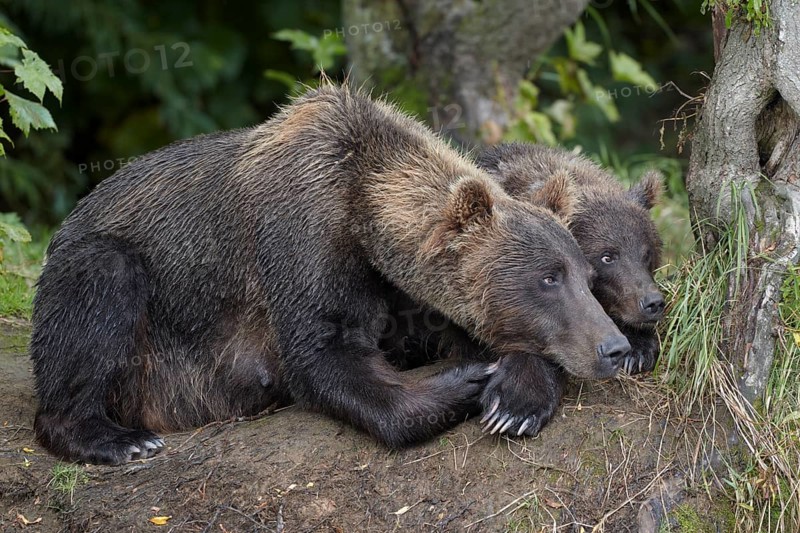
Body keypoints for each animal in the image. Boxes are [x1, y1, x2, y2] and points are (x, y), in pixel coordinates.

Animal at [30, 85, 629, 465]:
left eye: (582, 274)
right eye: (548, 279)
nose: (614, 346)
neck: (363, 210)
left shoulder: (400, 290)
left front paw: (515, 400)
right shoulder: (299, 242)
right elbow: (324, 354)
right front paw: (466, 379)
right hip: (129, 302)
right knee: (96, 295)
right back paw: (119, 439)